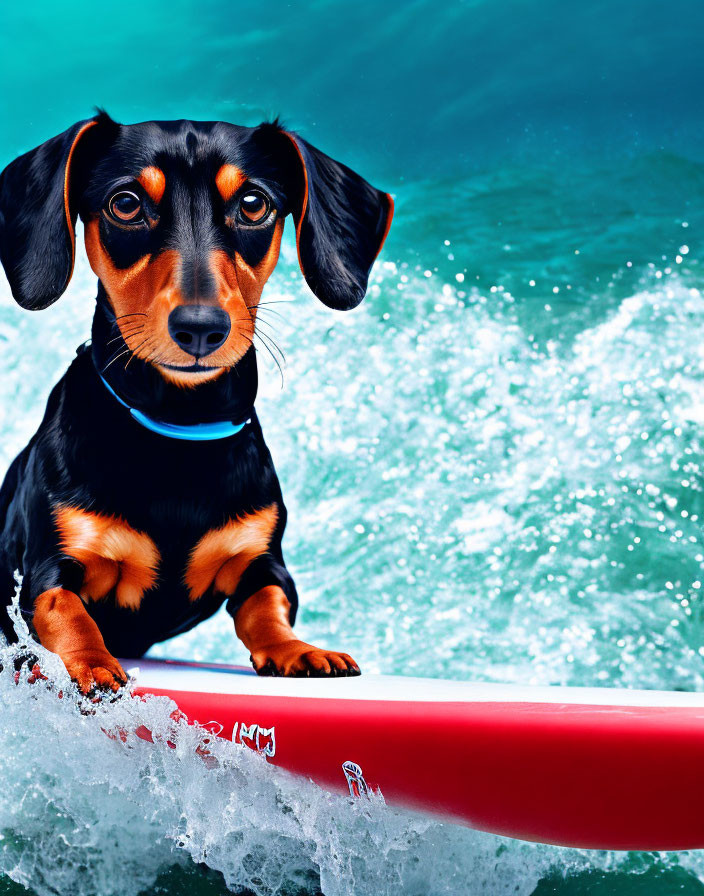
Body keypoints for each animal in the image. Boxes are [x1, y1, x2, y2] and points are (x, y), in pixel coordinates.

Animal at [0, 114, 390, 692]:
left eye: (253, 203)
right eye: (125, 203)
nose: (201, 327)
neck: (177, 428)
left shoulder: (264, 563)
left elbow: (268, 604)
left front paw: (295, 649)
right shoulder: (49, 565)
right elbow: (64, 611)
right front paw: (90, 663)